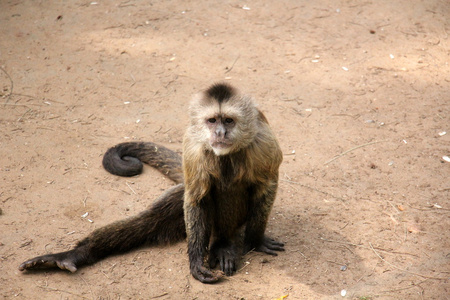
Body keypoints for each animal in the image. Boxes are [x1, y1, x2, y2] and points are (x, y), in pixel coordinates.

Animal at [19, 82, 284, 284]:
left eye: (228, 121)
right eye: (212, 121)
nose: (219, 133)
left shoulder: (263, 143)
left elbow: (267, 184)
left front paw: (255, 240)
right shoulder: (193, 146)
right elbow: (196, 198)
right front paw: (196, 261)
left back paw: (224, 244)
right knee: (155, 217)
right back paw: (71, 255)